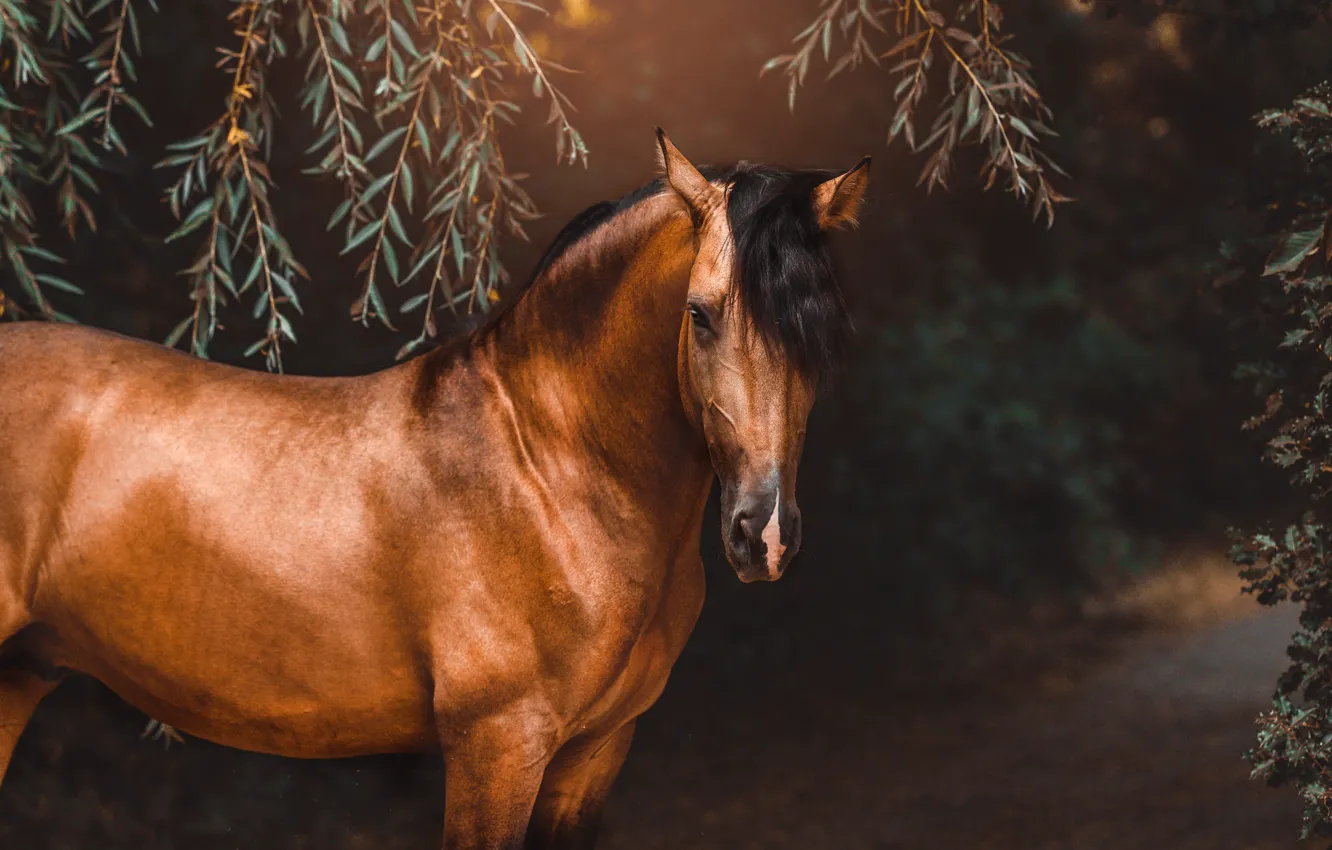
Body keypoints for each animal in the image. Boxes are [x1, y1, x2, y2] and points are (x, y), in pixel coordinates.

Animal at [0, 129, 869, 849]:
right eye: (700, 314)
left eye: (821, 334)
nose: (763, 533)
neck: (551, 470)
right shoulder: (499, 747)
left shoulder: (594, 755)